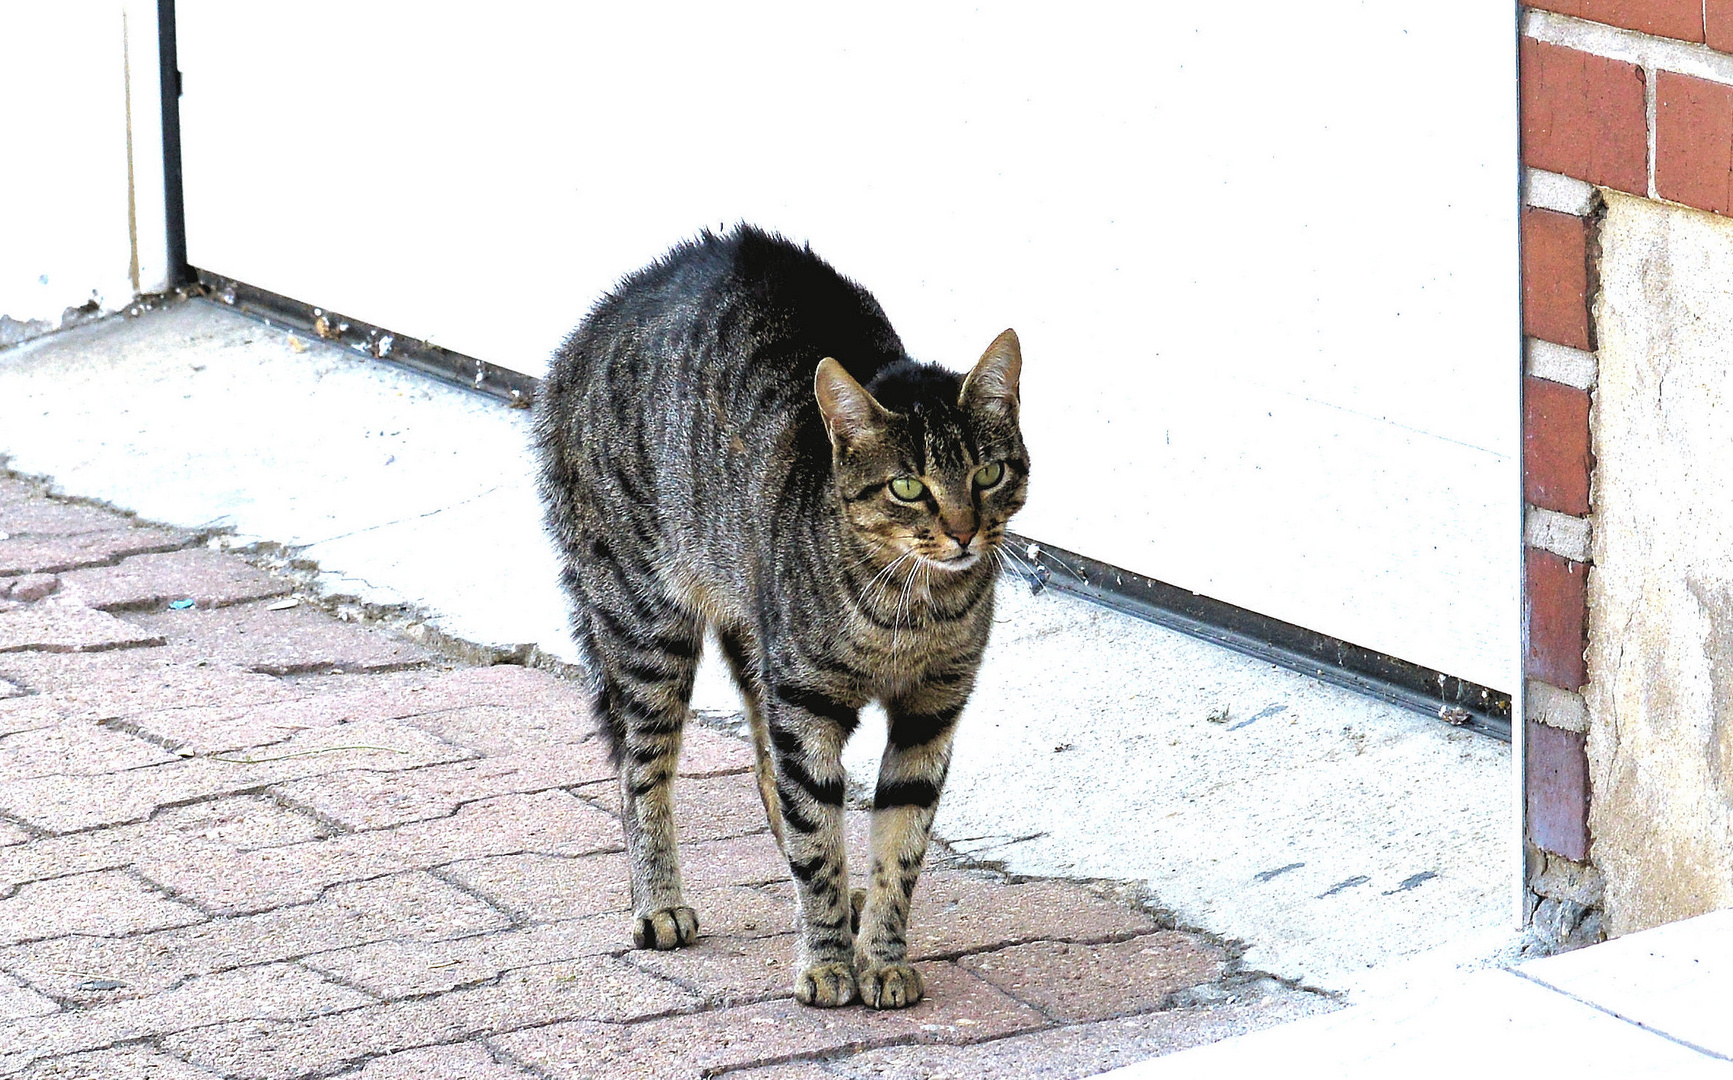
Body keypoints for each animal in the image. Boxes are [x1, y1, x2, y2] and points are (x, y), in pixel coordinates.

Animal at [533, 223, 1019, 1012]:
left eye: (988, 474)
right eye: (908, 487)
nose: (963, 532)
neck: (910, 610)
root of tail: (590, 326)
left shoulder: (931, 711)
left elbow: (898, 847)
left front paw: (881, 957)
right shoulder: (806, 705)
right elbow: (818, 841)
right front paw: (826, 963)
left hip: (750, 641)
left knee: (768, 774)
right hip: (648, 628)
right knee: (641, 770)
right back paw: (658, 902)